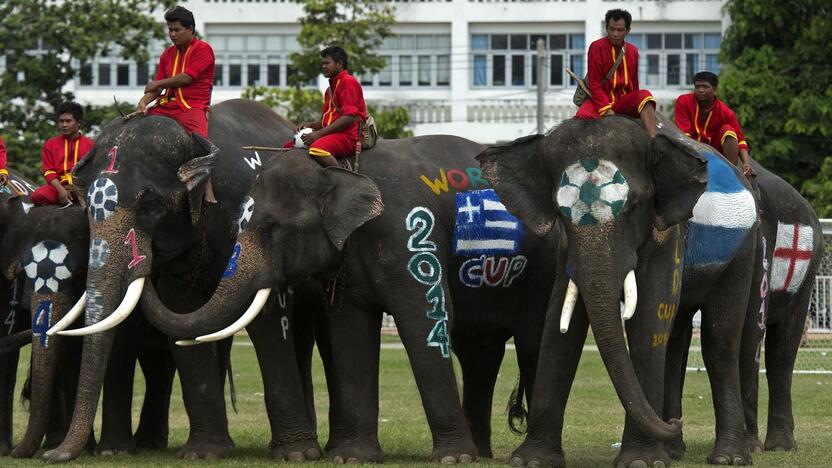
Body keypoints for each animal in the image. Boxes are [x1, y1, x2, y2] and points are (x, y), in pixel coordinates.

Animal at [40, 98, 322, 460]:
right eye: (87, 208)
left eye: (149, 204)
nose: (51, 456)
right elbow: (181, 310)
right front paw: (204, 454)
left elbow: (272, 315)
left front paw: (297, 455)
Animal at [133, 133, 556, 462]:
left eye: (271, 228)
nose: (150, 251)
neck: (340, 168)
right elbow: (350, 329)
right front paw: (353, 457)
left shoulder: (409, 232)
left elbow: (425, 316)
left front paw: (451, 459)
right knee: (480, 352)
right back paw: (482, 454)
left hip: (543, 270)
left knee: (532, 342)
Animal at [478, 115, 772, 466]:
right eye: (559, 213)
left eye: (633, 207)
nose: (675, 422)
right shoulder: (566, 248)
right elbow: (559, 327)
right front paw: (532, 460)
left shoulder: (670, 234)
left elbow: (647, 321)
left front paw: (641, 461)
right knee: (675, 340)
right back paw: (674, 451)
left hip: (746, 246)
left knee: (721, 340)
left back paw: (730, 457)